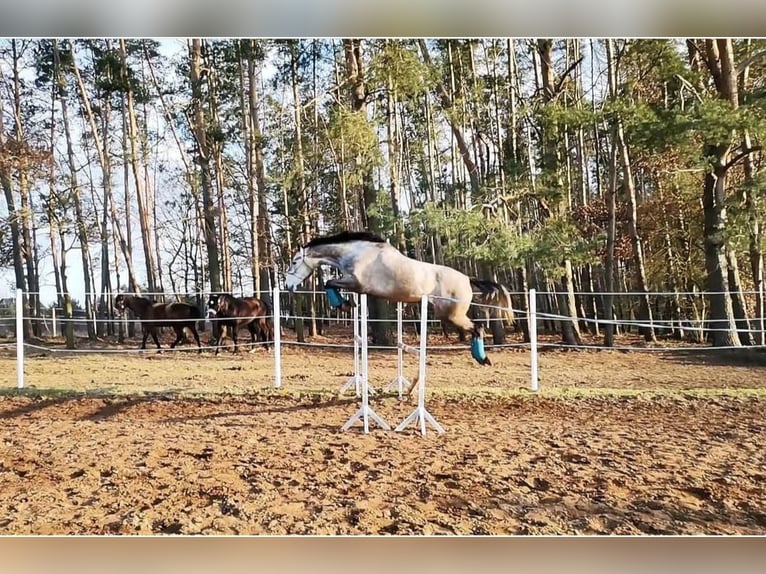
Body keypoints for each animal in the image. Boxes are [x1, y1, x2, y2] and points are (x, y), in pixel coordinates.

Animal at [284, 230, 496, 364]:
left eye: (294, 262)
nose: (287, 286)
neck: (357, 253)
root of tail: (467, 279)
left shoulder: (357, 284)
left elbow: (329, 283)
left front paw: (343, 305)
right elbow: (330, 284)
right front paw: (345, 304)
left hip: (451, 314)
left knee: (477, 328)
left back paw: (482, 359)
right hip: (449, 315)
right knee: (476, 329)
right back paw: (480, 358)